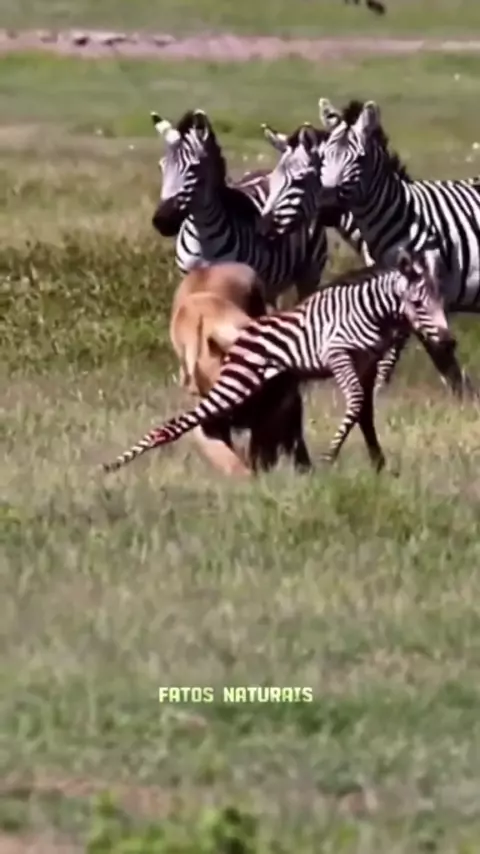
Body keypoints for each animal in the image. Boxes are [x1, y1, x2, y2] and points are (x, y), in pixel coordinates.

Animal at [102, 249, 457, 476]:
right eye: (417, 302)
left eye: (441, 299)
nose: (449, 342)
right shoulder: (337, 355)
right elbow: (355, 406)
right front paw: (329, 458)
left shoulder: (364, 366)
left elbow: (364, 413)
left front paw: (375, 463)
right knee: (176, 426)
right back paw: (111, 465)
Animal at [259, 98, 476, 397]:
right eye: (274, 179)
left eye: (300, 180)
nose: (264, 228)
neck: (400, 215)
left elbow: (403, 352)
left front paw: (379, 393)